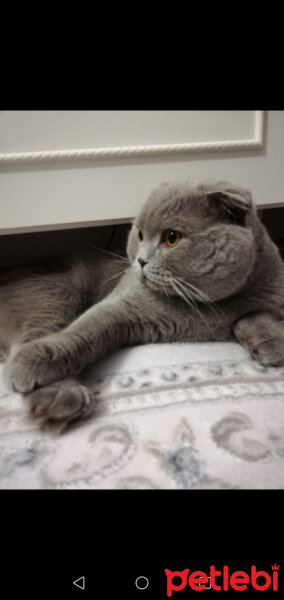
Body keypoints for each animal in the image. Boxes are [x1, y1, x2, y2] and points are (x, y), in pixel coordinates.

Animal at [0, 179, 284, 432]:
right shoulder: (121, 305)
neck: (204, 308)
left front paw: (268, 341)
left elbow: (261, 313)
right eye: (139, 234)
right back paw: (58, 398)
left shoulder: (269, 294)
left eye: (171, 238)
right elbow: (86, 330)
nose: (140, 260)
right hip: (55, 296)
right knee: (31, 339)